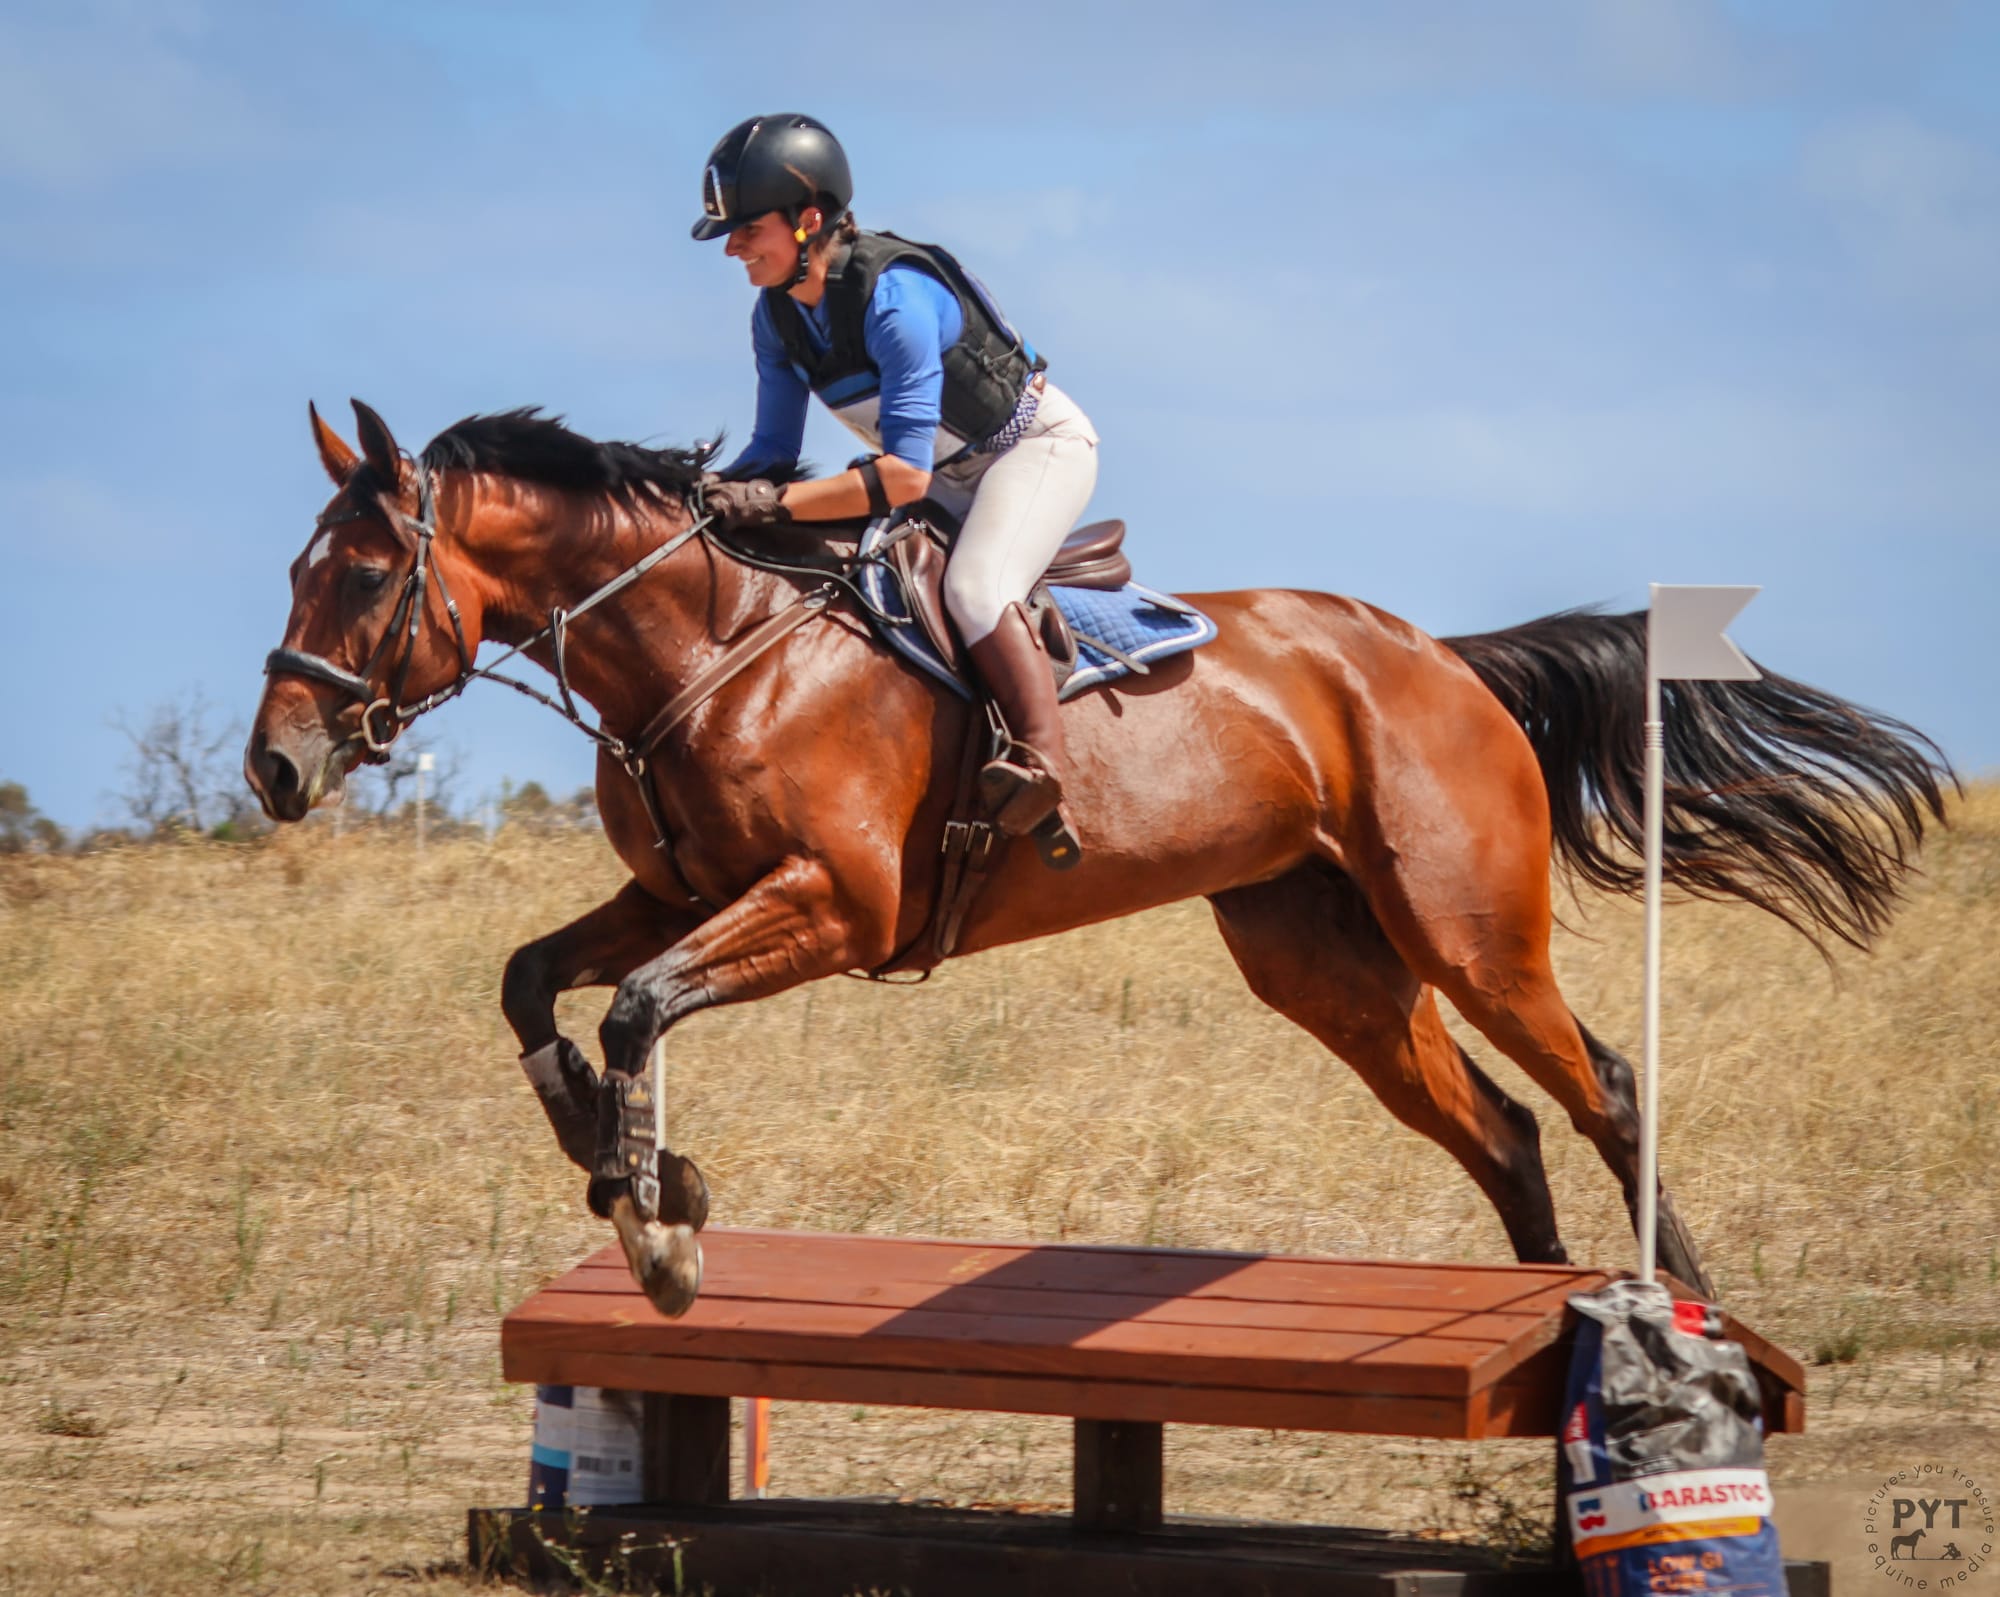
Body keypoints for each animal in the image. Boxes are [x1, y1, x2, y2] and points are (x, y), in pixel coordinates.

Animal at [244, 401, 1950, 1318]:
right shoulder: (677, 890)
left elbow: (636, 1005)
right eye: (300, 569)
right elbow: (539, 983)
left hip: (1465, 927)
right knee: (1505, 1129)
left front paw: (656, 1217)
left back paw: (1683, 1307)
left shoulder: (831, 909)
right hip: (1325, 960)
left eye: (365, 576)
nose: (276, 765)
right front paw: (625, 1166)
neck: (714, 648)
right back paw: (1532, 1318)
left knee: (1601, 1088)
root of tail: (1441, 658)